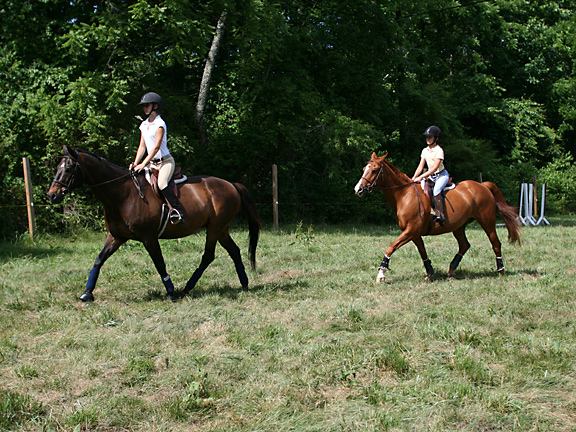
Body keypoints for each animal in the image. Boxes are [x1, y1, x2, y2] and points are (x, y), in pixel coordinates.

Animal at [48, 145, 260, 300]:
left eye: (68, 168)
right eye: (58, 168)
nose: (52, 195)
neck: (122, 194)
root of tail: (231, 184)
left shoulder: (148, 237)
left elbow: (159, 263)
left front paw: (170, 292)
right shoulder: (116, 236)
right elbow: (99, 260)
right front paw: (87, 293)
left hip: (215, 228)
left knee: (208, 256)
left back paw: (186, 289)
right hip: (221, 229)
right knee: (234, 251)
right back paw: (244, 283)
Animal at [354, 154, 520, 282]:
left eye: (374, 170)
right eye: (364, 169)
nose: (358, 190)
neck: (404, 195)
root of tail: (483, 185)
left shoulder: (410, 231)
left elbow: (391, 247)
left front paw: (381, 274)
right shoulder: (414, 233)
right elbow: (423, 252)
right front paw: (430, 273)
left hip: (487, 222)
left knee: (495, 243)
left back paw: (501, 270)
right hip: (458, 226)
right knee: (464, 245)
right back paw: (451, 271)